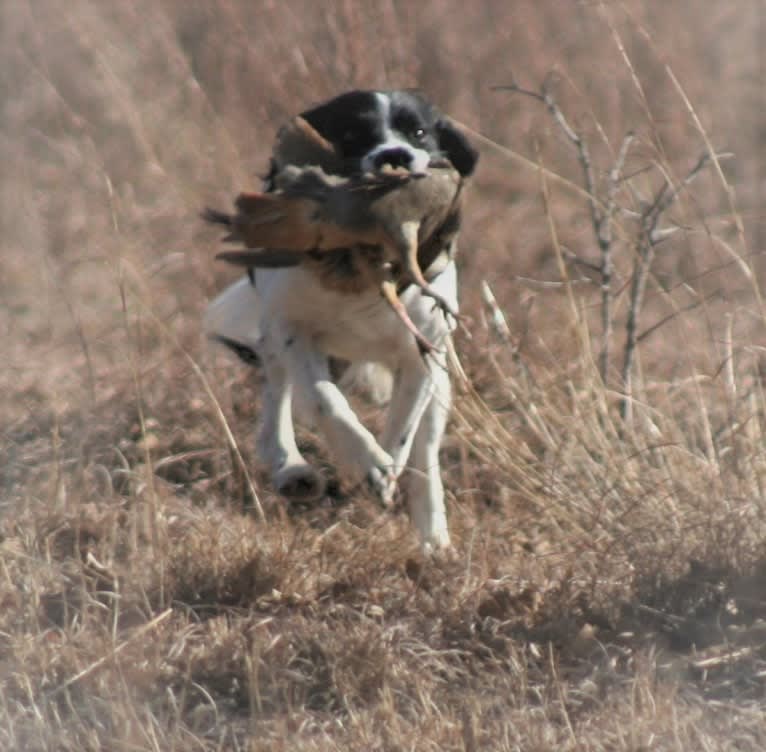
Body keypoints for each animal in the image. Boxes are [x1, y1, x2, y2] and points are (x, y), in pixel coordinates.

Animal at [204, 89, 480, 552]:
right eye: (351, 133)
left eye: (418, 132)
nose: (395, 156)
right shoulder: (293, 329)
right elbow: (324, 399)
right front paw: (366, 463)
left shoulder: (422, 348)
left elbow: (404, 426)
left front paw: (386, 467)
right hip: (276, 335)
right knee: (278, 396)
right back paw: (290, 467)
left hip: (439, 379)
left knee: (425, 450)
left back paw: (433, 538)